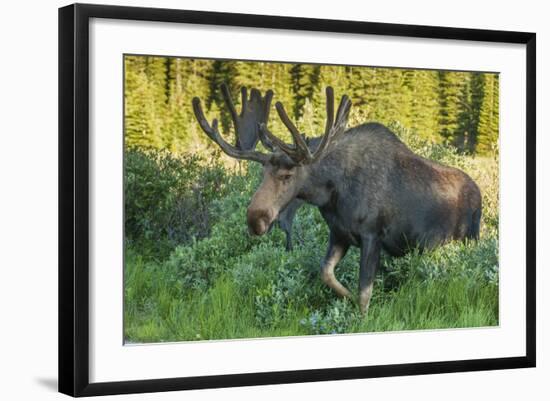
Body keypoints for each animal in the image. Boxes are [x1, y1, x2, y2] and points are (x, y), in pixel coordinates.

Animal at [193, 86, 484, 314]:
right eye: (263, 172)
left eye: (287, 175)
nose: (255, 220)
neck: (332, 194)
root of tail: (481, 194)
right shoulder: (339, 234)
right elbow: (326, 273)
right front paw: (345, 297)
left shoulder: (372, 235)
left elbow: (365, 292)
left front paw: (359, 315)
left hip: (468, 238)